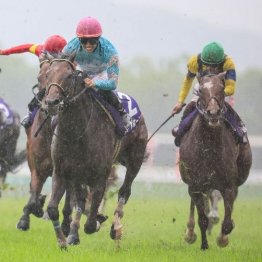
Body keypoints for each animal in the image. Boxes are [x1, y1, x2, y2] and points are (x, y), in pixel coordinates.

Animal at [42, 54, 147, 249]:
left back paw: (115, 228)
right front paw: (63, 241)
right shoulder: (62, 171)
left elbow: (91, 223)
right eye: (47, 74)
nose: (51, 103)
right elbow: (54, 208)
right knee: (82, 199)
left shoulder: (100, 176)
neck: (77, 132)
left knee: (124, 192)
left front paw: (98, 220)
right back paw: (74, 234)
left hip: (135, 159)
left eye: (69, 75)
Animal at [180, 72, 252, 250]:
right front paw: (204, 245)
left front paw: (222, 238)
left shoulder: (228, 185)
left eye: (221, 89)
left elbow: (227, 223)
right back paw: (190, 233)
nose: (213, 113)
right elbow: (202, 219)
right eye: (200, 91)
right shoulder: (195, 185)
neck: (209, 147)